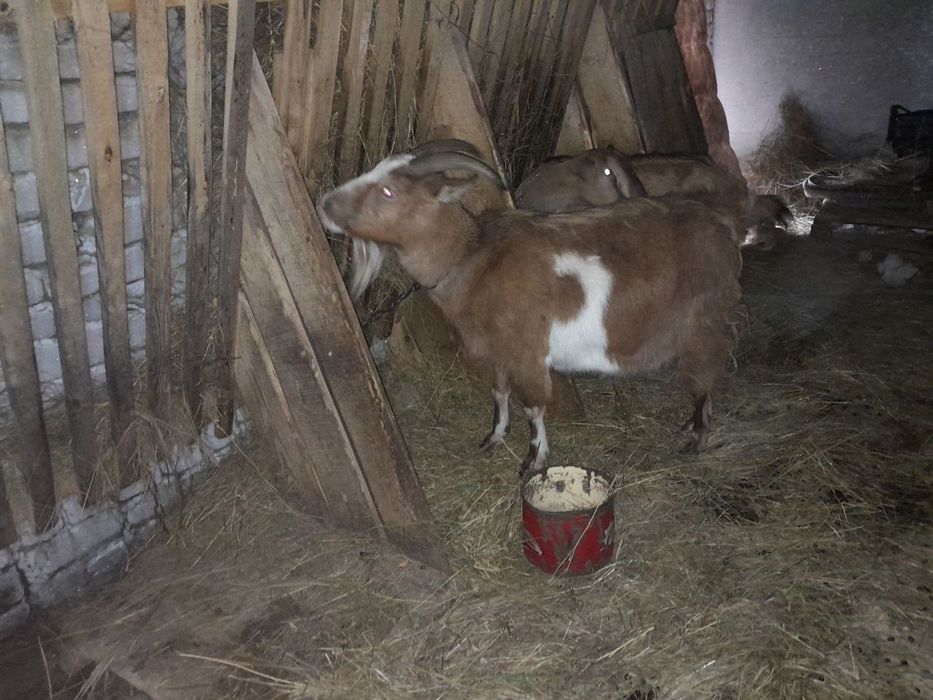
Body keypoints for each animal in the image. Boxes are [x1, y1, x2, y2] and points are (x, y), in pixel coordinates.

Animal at [318, 144, 743, 474]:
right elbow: (499, 394)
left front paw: (534, 458)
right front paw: (493, 437)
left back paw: (697, 438)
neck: (472, 258)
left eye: (388, 191)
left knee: (705, 377)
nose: (324, 204)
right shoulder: (499, 353)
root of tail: (721, 226)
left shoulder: (527, 352)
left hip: (705, 321)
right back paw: (689, 426)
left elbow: (534, 406)